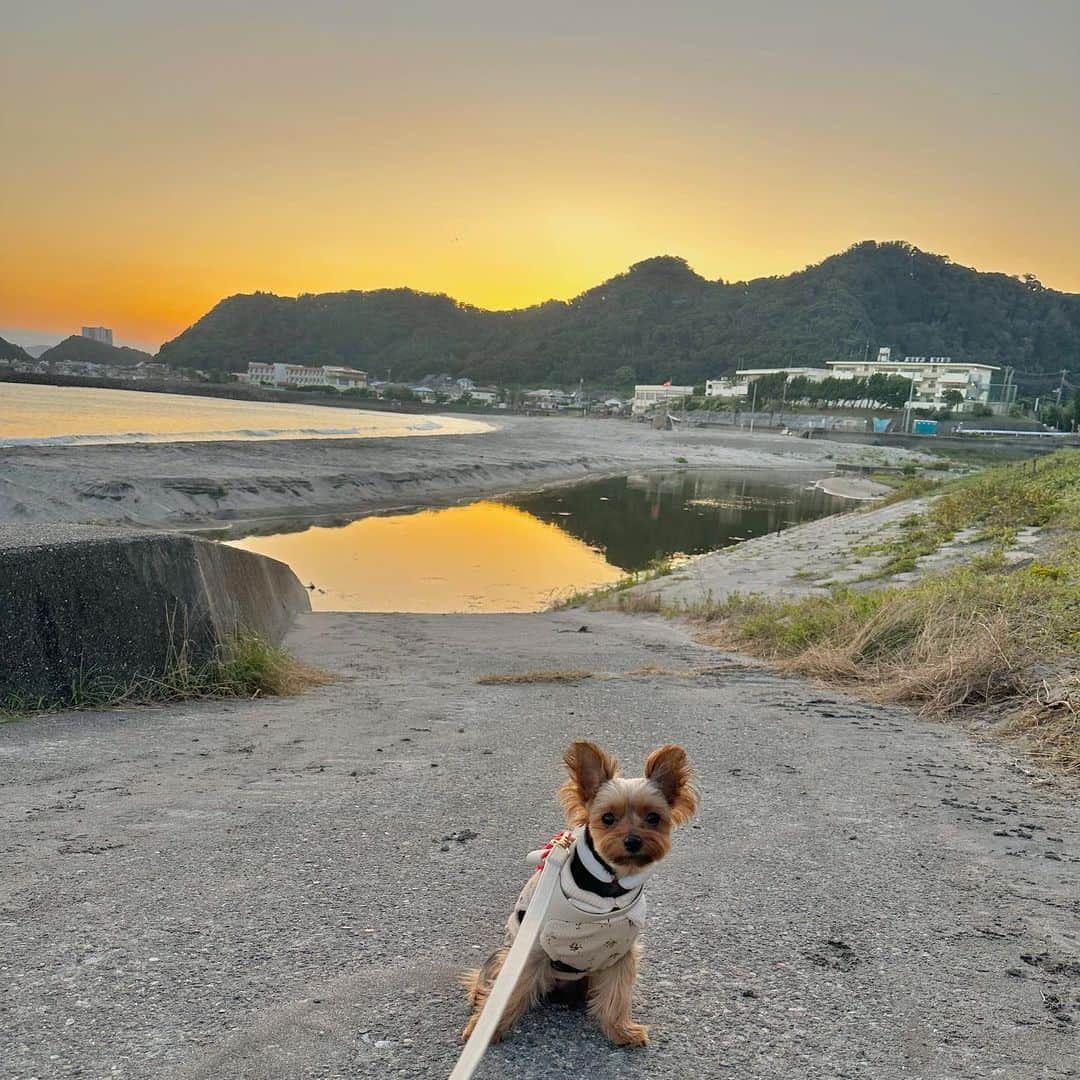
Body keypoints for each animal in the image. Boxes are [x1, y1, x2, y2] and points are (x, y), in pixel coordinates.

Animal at [464, 743, 699, 1045]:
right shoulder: (533, 949)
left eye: (653, 818)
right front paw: (485, 1029)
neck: (610, 889)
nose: (633, 841)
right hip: (508, 951)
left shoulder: (620, 951)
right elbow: (510, 991)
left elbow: (617, 994)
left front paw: (622, 1031)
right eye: (607, 818)